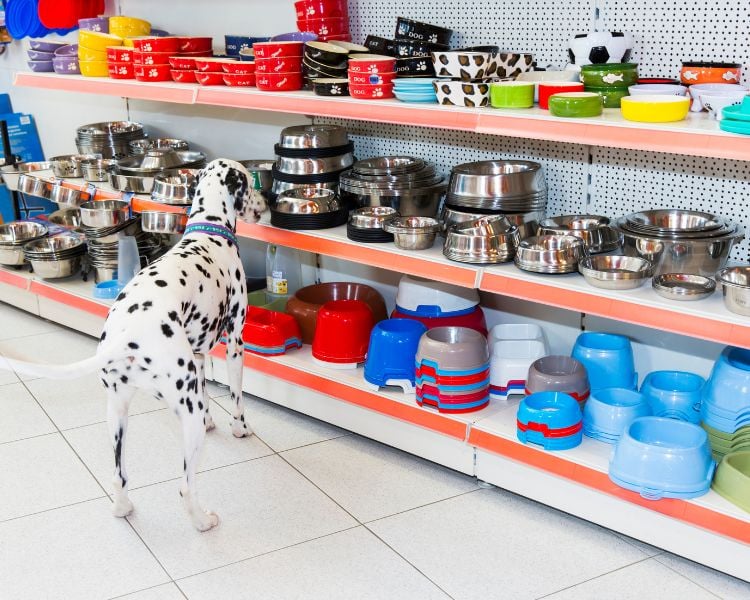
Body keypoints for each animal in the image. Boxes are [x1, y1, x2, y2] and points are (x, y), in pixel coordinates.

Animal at [0, 158, 268, 528]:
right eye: (250, 182)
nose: (265, 205)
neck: (209, 229)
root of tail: (128, 334)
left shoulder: (199, 354)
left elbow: (209, 394)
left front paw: (215, 420)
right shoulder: (235, 344)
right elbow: (237, 398)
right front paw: (241, 428)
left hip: (117, 413)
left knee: (118, 475)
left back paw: (122, 507)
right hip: (184, 414)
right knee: (185, 486)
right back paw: (202, 521)